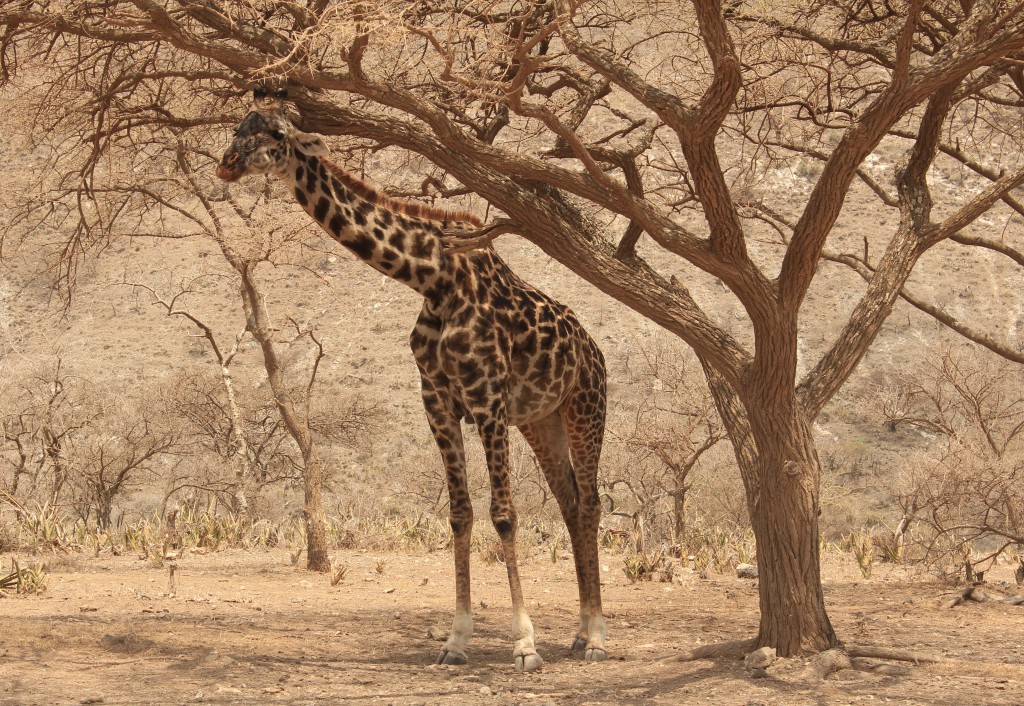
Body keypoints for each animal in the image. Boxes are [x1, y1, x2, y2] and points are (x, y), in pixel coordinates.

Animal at [214, 89, 598, 672]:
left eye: (277, 134)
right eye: (239, 126)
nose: (227, 162)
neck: (433, 278)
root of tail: (593, 351)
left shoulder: (486, 399)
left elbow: (504, 515)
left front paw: (525, 644)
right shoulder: (436, 401)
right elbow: (460, 514)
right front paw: (456, 641)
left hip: (584, 409)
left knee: (592, 503)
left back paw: (596, 634)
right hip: (541, 422)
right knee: (572, 503)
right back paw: (578, 632)